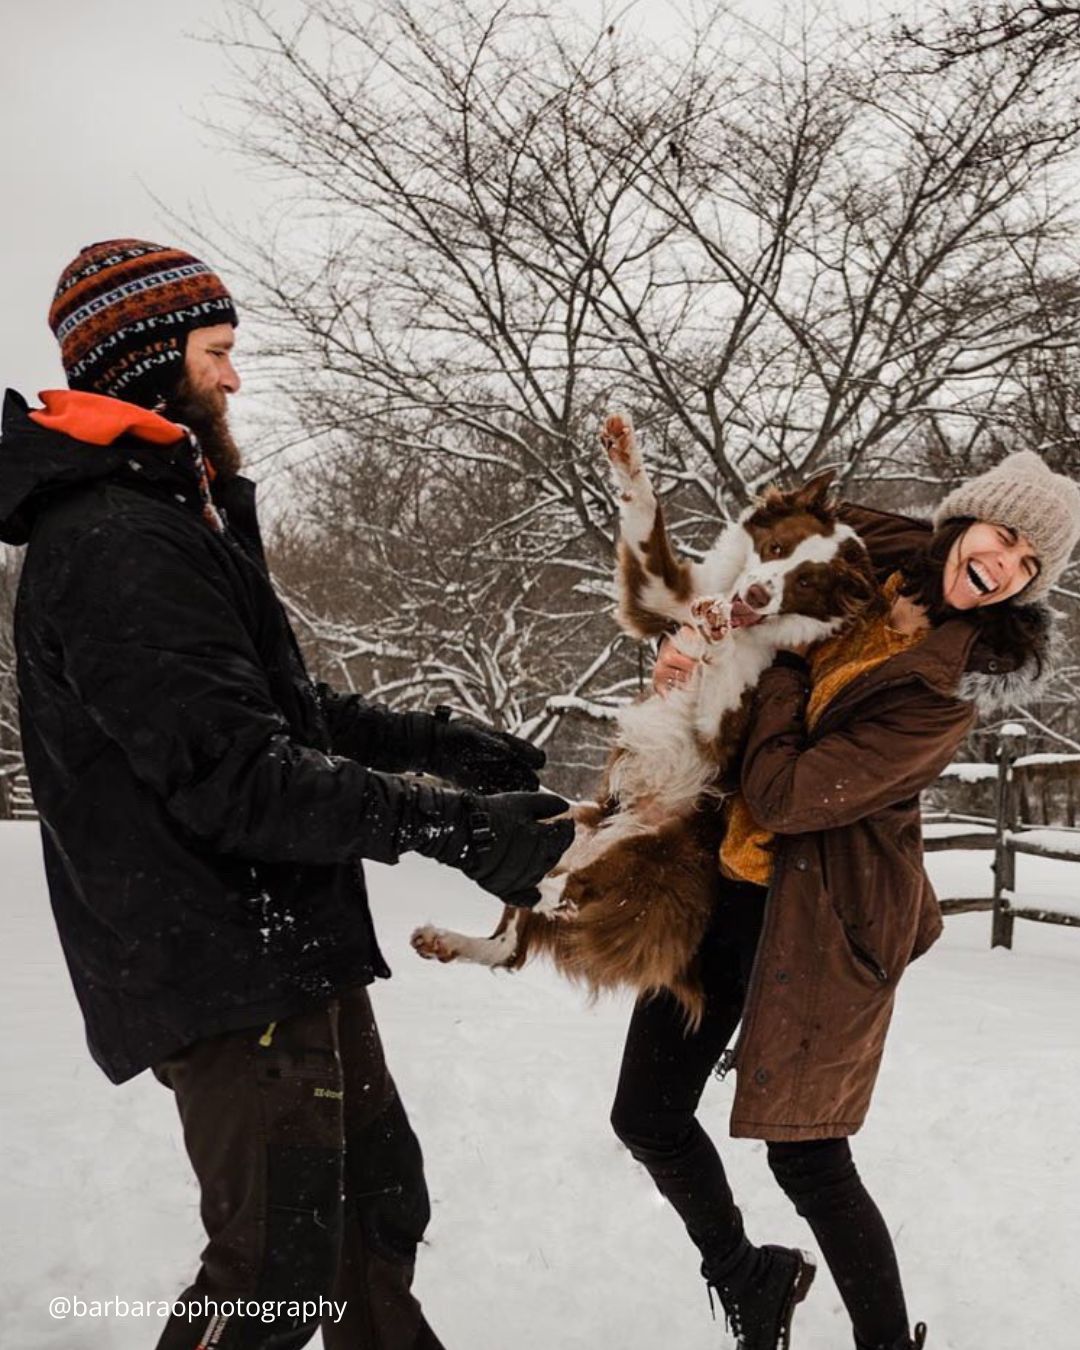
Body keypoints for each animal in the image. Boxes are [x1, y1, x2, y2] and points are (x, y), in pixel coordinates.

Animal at [410, 410, 880, 1020]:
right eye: (777, 547)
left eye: (805, 582)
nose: (754, 594)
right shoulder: (660, 597)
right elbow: (646, 517)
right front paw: (626, 452)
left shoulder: (725, 731)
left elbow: (724, 687)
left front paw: (721, 633)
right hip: (567, 820)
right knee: (510, 942)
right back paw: (450, 933)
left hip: (635, 858)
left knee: (564, 899)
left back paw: (534, 880)